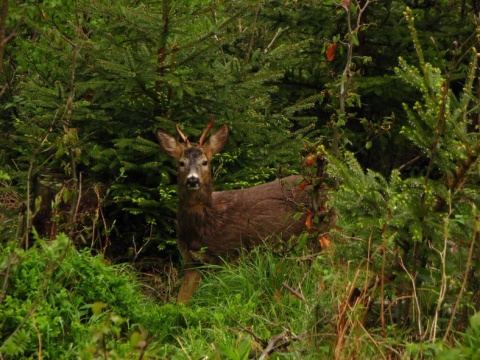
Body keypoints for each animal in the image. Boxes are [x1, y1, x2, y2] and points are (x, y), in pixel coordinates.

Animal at [156, 121, 310, 304]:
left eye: (205, 162)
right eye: (181, 163)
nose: (193, 180)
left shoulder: (232, 253)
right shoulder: (191, 261)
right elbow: (181, 301)